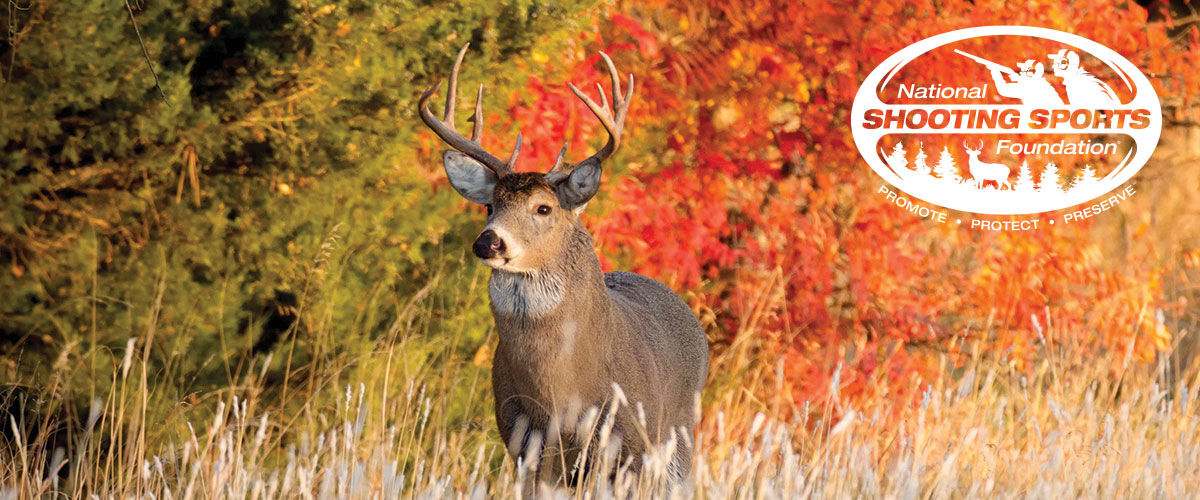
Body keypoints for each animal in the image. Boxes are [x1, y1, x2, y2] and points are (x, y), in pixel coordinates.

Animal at [417, 44, 705, 484]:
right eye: (489, 206)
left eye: (543, 208)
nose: (488, 241)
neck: (560, 392)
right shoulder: (525, 446)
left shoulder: (630, 447)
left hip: (678, 441)